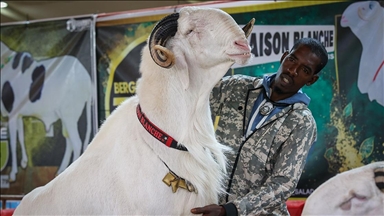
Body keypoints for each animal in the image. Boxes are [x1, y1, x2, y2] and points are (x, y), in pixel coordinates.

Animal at [0, 41, 93, 181]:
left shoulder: (12, 113)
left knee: (77, 143)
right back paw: (61, 170)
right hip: (66, 117)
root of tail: (86, 76)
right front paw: (24, 162)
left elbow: (12, 142)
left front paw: (12, 173)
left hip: (69, 116)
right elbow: (21, 136)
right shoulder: (18, 114)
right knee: (69, 142)